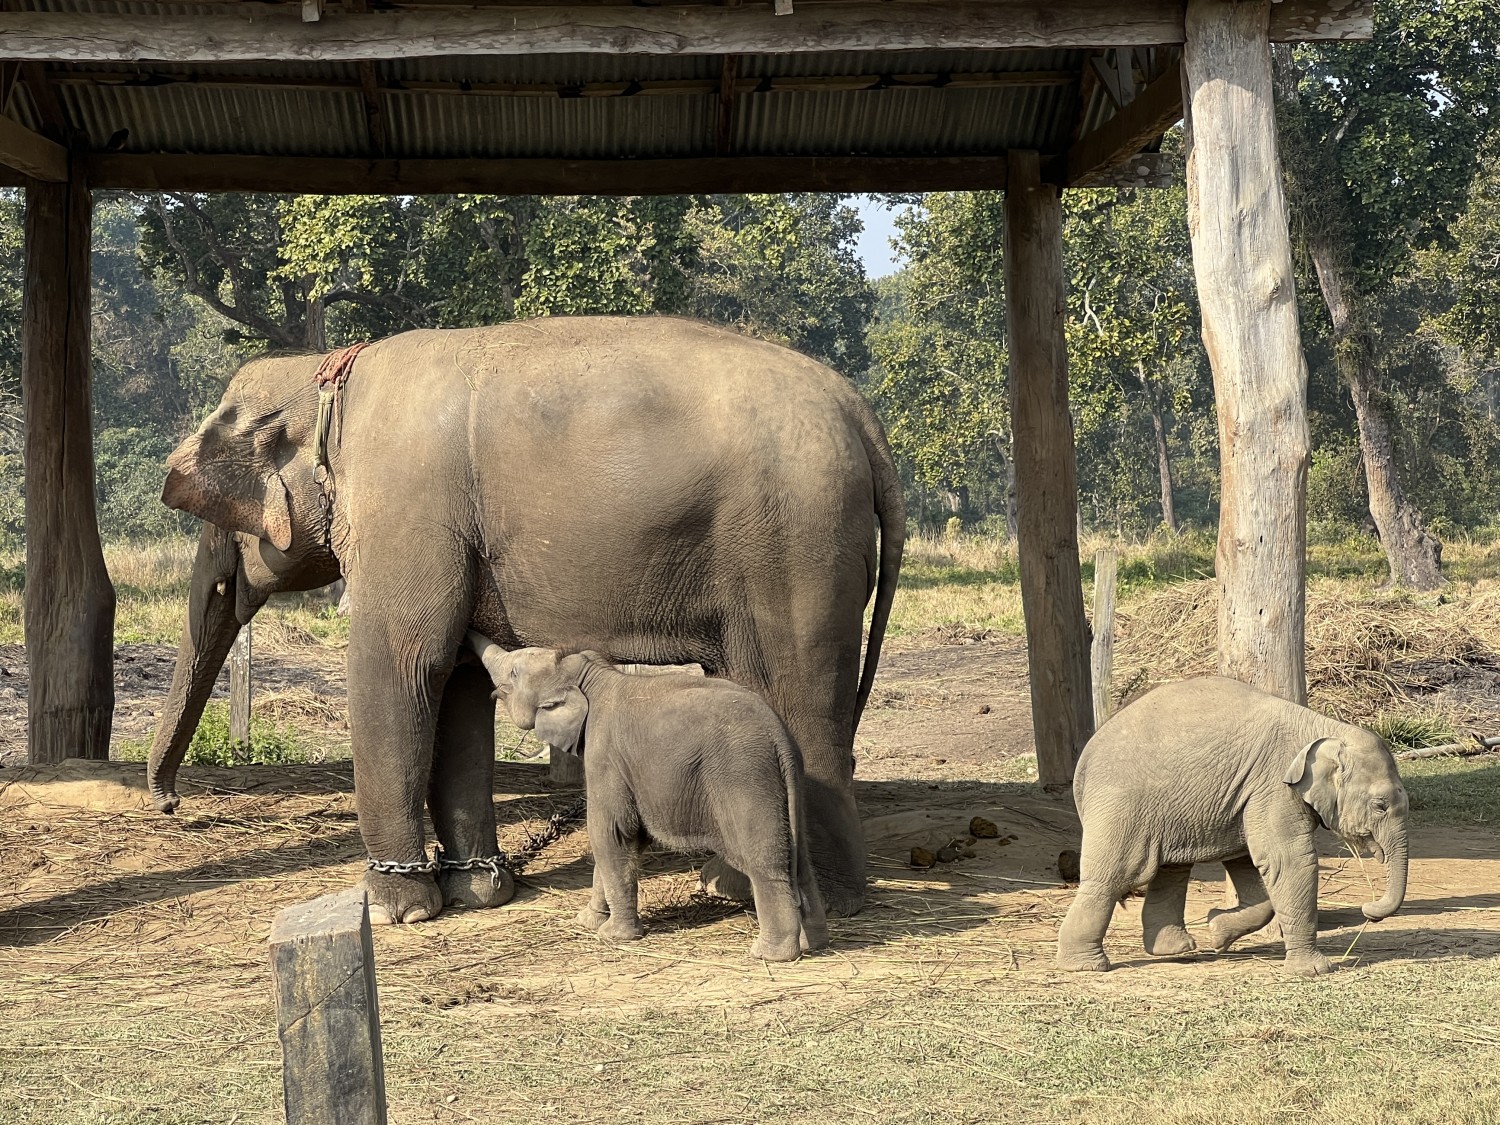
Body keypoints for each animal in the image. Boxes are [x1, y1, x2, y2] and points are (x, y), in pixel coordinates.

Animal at [146, 315, 900, 924]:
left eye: (220, 521)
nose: (170, 804)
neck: (322, 377)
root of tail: (859, 411)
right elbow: (452, 680)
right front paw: (481, 892)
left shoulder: (409, 509)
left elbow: (400, 665)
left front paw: (398, 910)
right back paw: (728, 884)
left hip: (795, 541)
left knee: (803, 698)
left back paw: (821, 899)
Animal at [471, 639, 834, 966]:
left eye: (515, 672)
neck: (592, 674)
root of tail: (779, 738)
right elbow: (622, 841)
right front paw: (588, 922)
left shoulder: (605, 756)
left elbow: (611, 835)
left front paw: (612, 935)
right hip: (786, 788)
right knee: (800, 860)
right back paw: (815, 943)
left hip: (745, 780)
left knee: (766, 864)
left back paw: (770, 954)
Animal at [1056, 678, 1404, 978]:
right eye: (1380, 805)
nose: (1369, 909)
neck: (1324, 726)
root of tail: (1086, 756)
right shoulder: (1272, 786)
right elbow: (1286, 860)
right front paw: (1316, 971)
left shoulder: (1249, 793)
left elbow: (1251, 862)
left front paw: (1216, 931)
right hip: (1122, 805)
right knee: (1115, 876)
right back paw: (1086, 966)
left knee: (1171, 871)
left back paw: (1176, 949)